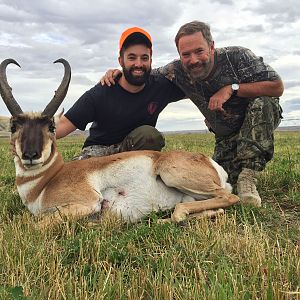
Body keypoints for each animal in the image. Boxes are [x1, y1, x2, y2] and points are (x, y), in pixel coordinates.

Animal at [0, 58, 239, 226]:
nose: (31, 155)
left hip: (171, 174)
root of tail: (209, 162)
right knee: (211, 208)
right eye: (13, 126)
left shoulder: (87, 202)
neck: (47, 181)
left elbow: (37, 225)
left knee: (228, 197)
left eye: (51, 127)